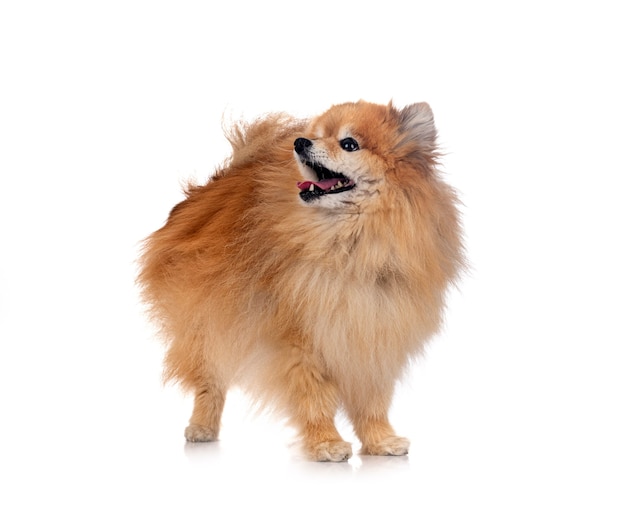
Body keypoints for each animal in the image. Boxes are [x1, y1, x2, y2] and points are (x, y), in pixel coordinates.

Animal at [140, 102, 464, 462]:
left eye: (349, 144)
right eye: (314, 135)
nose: (300, 142)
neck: (352, 245)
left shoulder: (373, 335)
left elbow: (372, 401)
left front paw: (381, 440)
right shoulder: (300, 342)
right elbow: (314, 397)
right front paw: (327, 443)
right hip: (208, 324)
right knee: (210, 381)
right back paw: (202, 427)